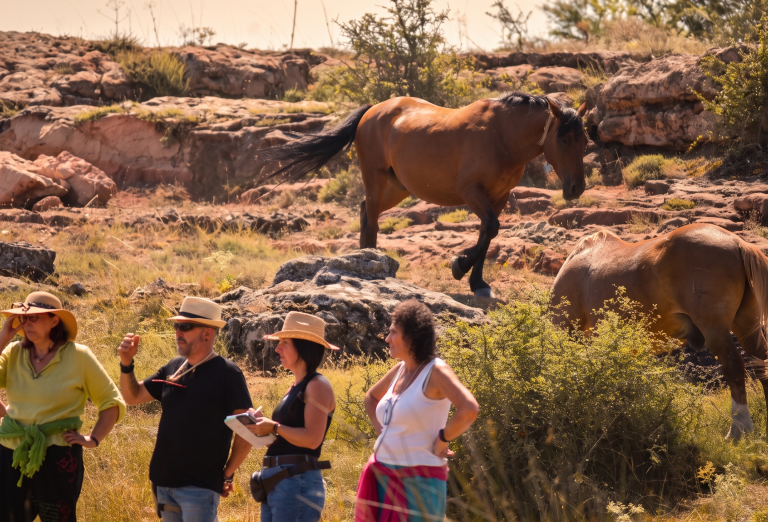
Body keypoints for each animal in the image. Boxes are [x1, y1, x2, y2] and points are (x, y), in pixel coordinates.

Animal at [257, 92, 588, 297]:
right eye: (564, 138)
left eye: (584, 139)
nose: (576, 188)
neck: (502, 136)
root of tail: (372, 110)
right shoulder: (471, 192)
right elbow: (490, 229)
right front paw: (459, 266)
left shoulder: (498, 197)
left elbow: (487, 234)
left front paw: (477, 282)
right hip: (376, 178)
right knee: (371, 218)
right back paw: (369, 263)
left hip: (398, 187)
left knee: (366, 212)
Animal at [552, 224, 768, 439]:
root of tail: (736, 243)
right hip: (745, 324)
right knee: (760, 362)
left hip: (715, 329)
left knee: (733, 367)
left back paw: (739, 429)